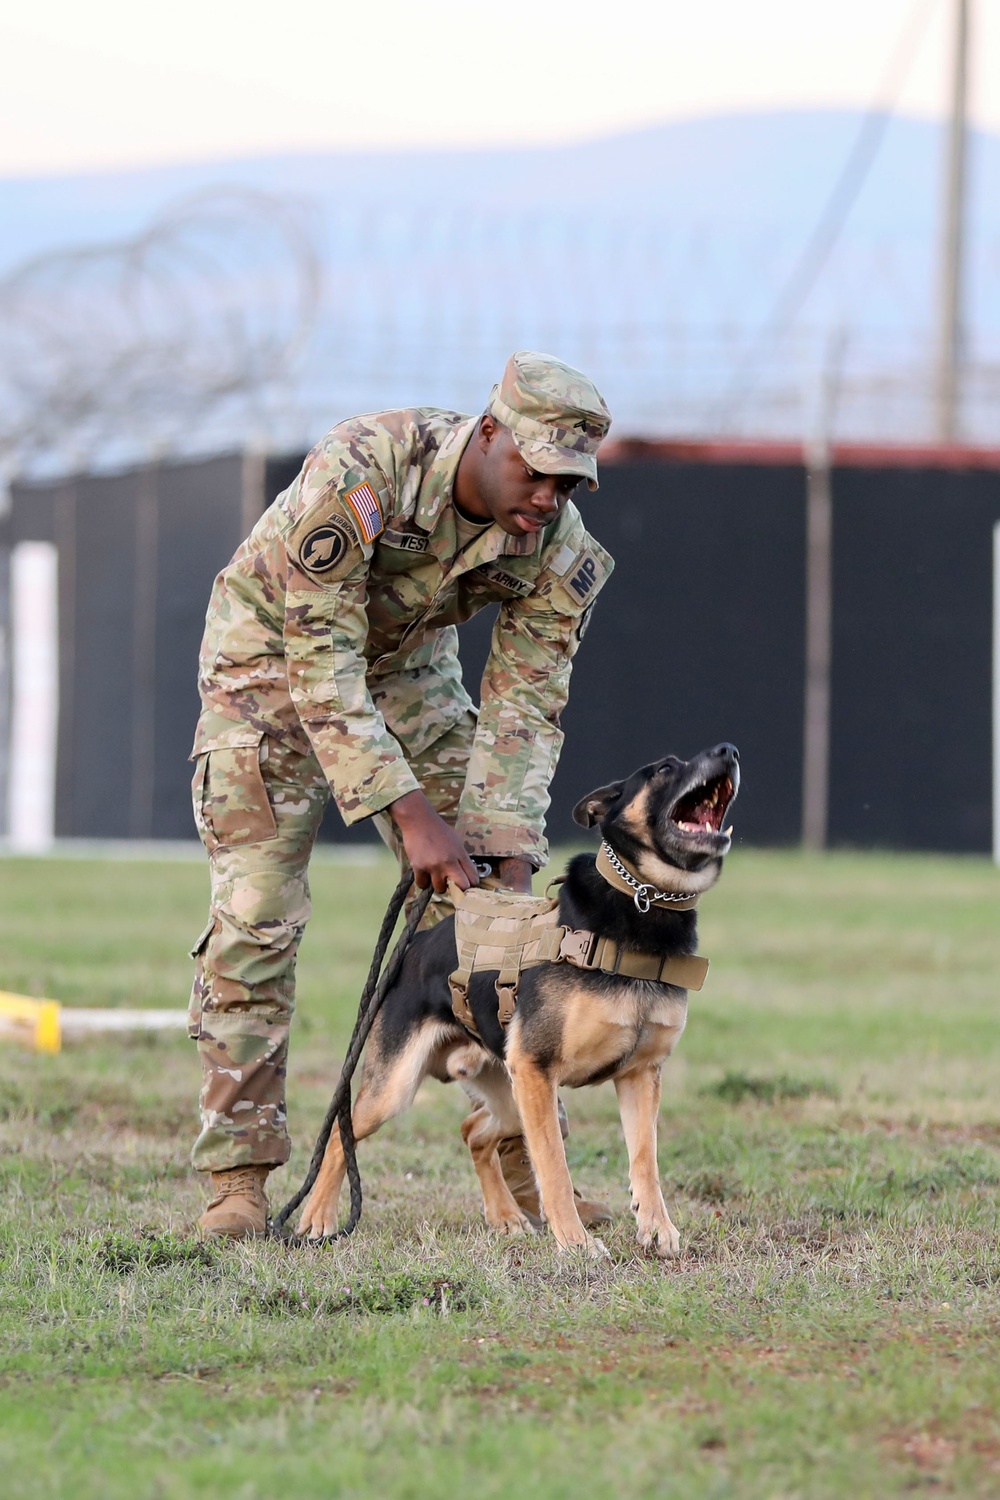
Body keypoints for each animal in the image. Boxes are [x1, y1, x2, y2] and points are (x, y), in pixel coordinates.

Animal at [293, 744, 740, 1260]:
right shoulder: (537, 1067)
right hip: (400, 1087)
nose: (728, 751)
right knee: (339, 1136)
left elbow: (645, 1161)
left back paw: (505, 1216)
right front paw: (575, 1243)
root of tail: (416, 943)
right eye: (665, 768)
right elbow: (554, 1167)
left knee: (473, 1132)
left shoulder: (639, 1075)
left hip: (507, 1091)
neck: (644, 903)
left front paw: (657, 1230)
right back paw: (318, 1218)